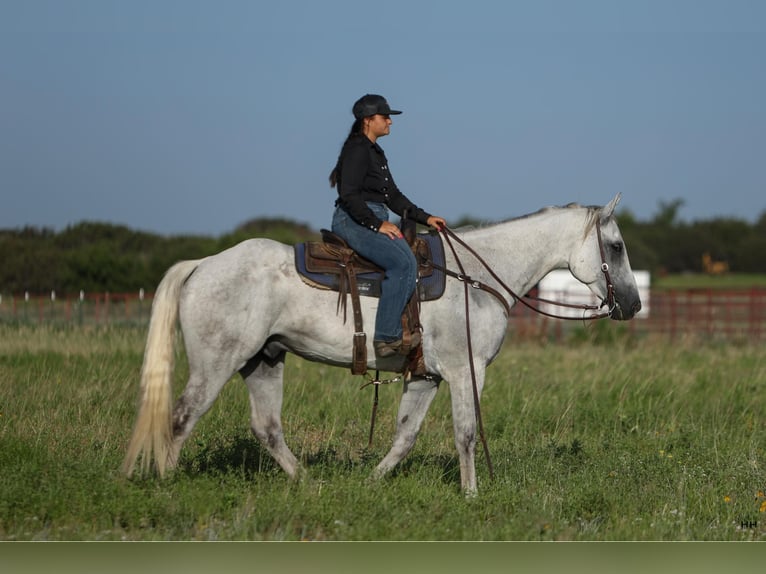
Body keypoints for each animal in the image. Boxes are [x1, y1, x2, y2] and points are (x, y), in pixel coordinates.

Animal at [123, 193, 641, 494]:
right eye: (616, 247)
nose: (634, 304)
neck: (476, 277)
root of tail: (203, 264)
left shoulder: (427, 376)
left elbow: (405, 436)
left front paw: (371, 483)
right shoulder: (466, 371)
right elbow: (466, 434)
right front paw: (472, 496)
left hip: (263, 360)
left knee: (266, 428)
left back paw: (308, 485)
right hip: (217, 363)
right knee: (181, 418)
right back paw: (165, 486)